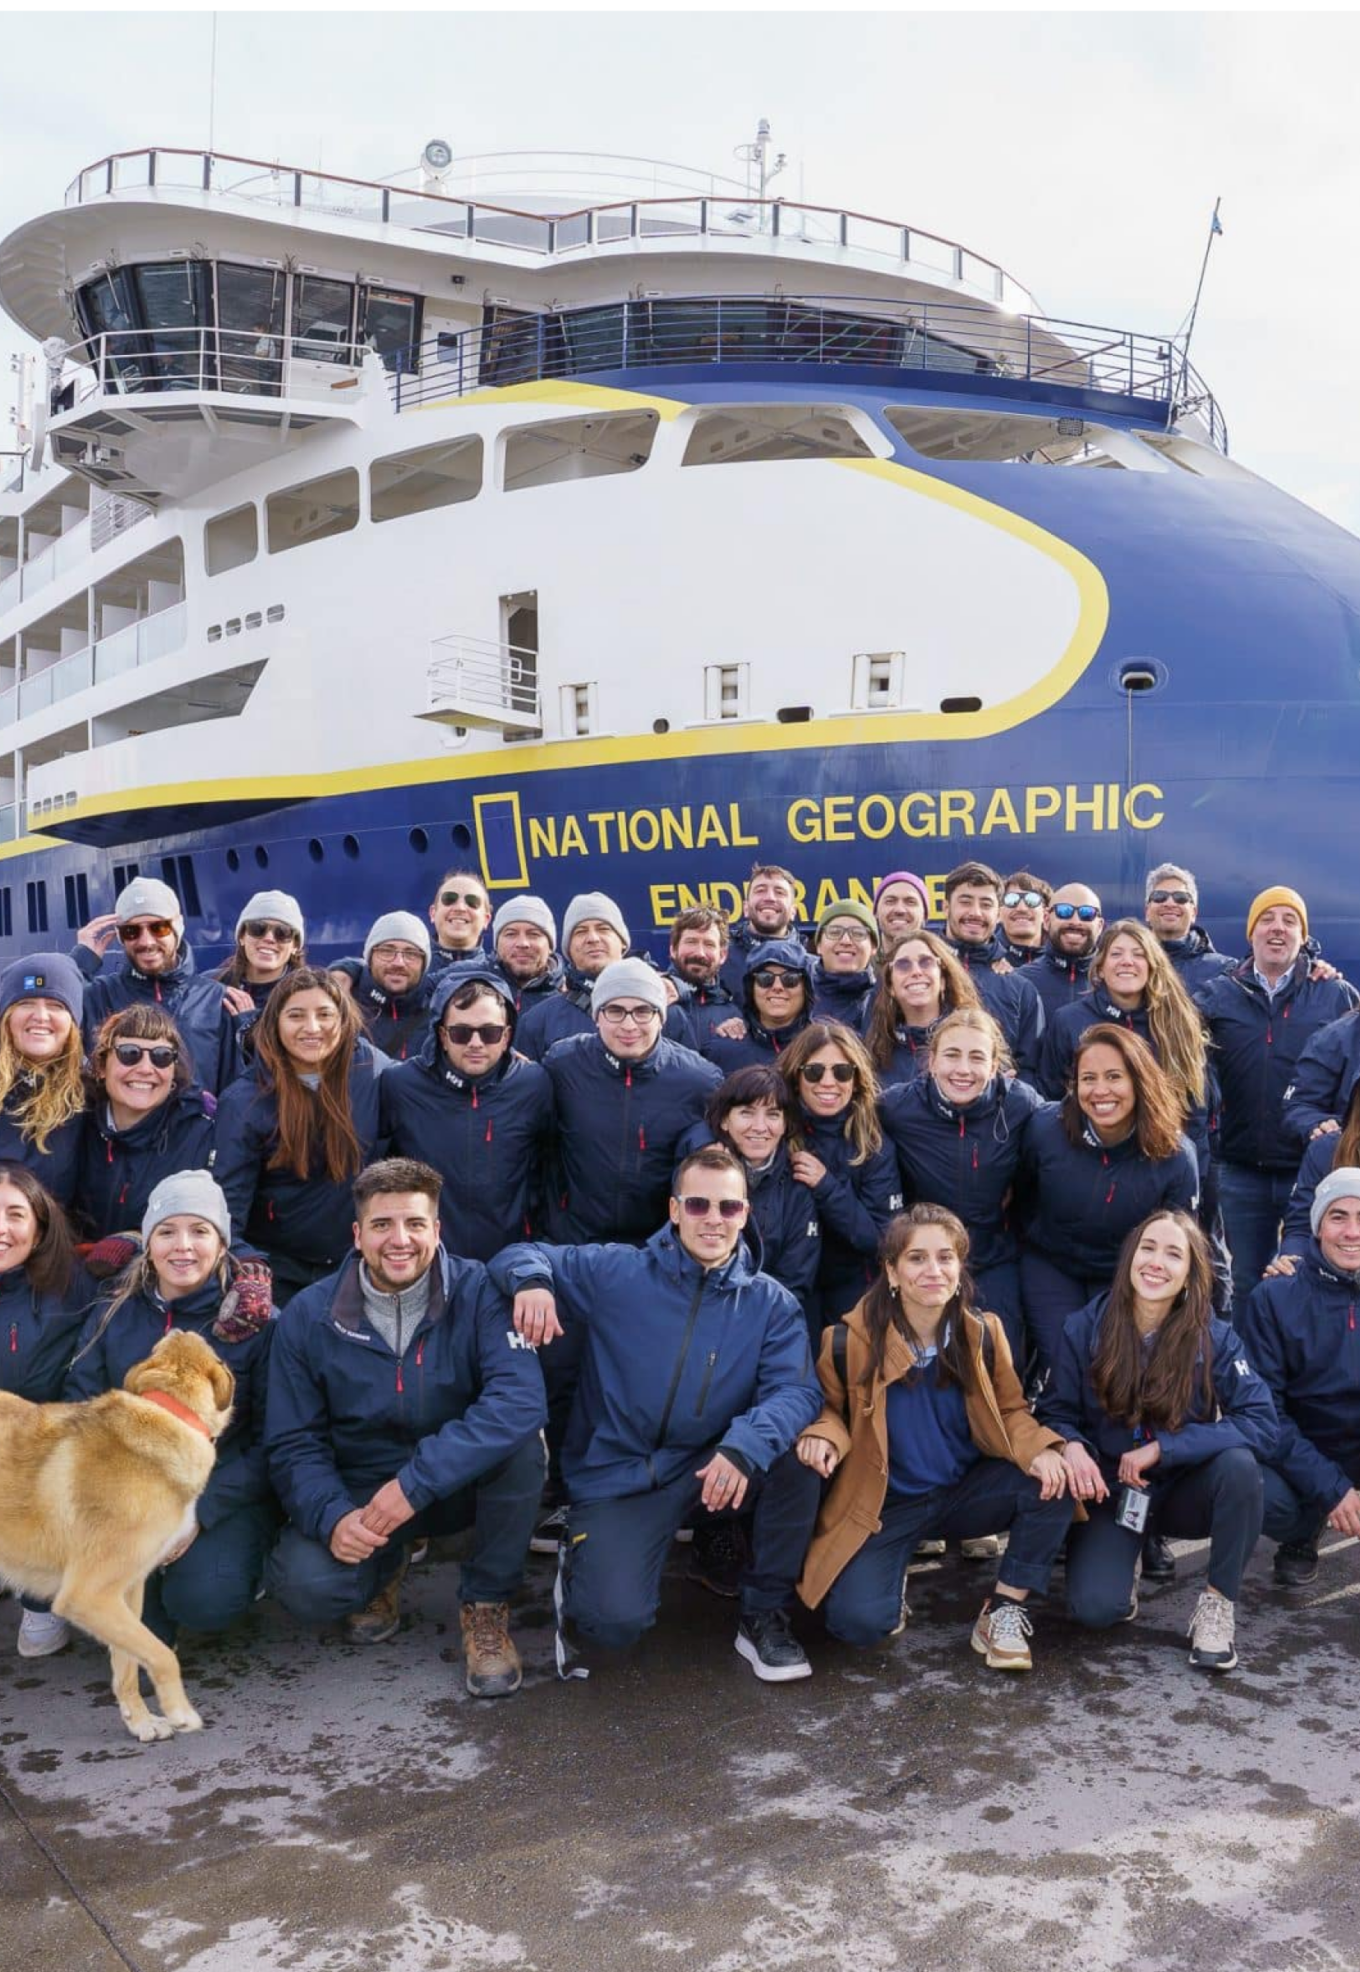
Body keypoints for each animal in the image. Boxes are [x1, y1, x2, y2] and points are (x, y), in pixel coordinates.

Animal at [0, 1325, 234, 1743]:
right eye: (219, 1355)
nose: (181, 1326)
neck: (167, 1411)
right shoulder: (87, 1596)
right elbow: (162, 1655)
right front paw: (179, 1711)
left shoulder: (125, 1592)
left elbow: (127, 1665)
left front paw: (141, 1721)